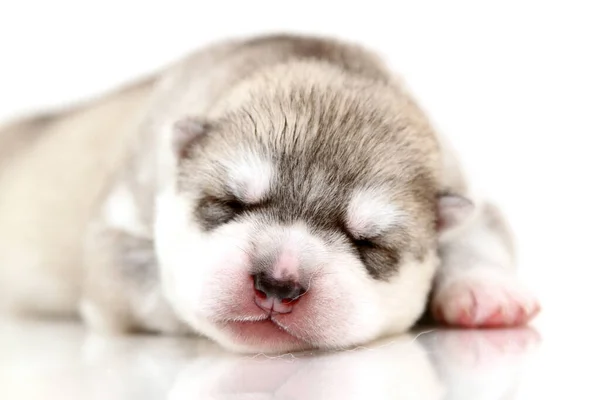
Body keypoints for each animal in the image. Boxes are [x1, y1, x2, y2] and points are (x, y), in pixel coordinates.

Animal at [0, 35, 540, 354]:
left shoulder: (461, 182)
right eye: (231, 204)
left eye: (368, 242)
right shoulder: (115, 230)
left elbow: (480, 232)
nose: (279, 284)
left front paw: (487, 292)